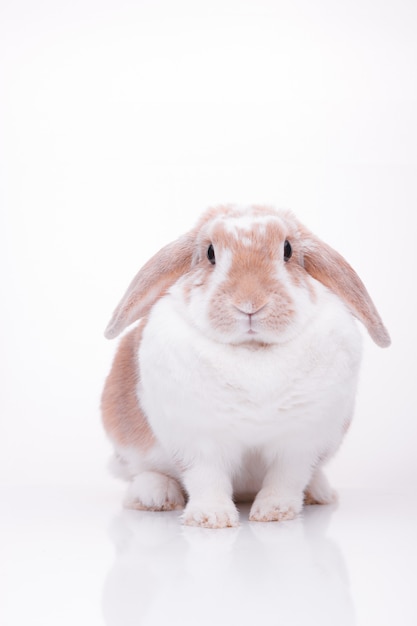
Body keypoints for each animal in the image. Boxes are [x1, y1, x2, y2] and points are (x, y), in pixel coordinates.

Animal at [101, 205, 390, 528]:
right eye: (210, 253)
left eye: (288, 250)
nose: (250, 303)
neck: (252, 350)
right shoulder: (198, 442)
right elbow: (206, 479)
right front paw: (211, 517)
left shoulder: (299, 444)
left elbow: (286, 479)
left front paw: (274, 512)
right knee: (142, 473)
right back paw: (155, 495)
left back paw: (318, 492)